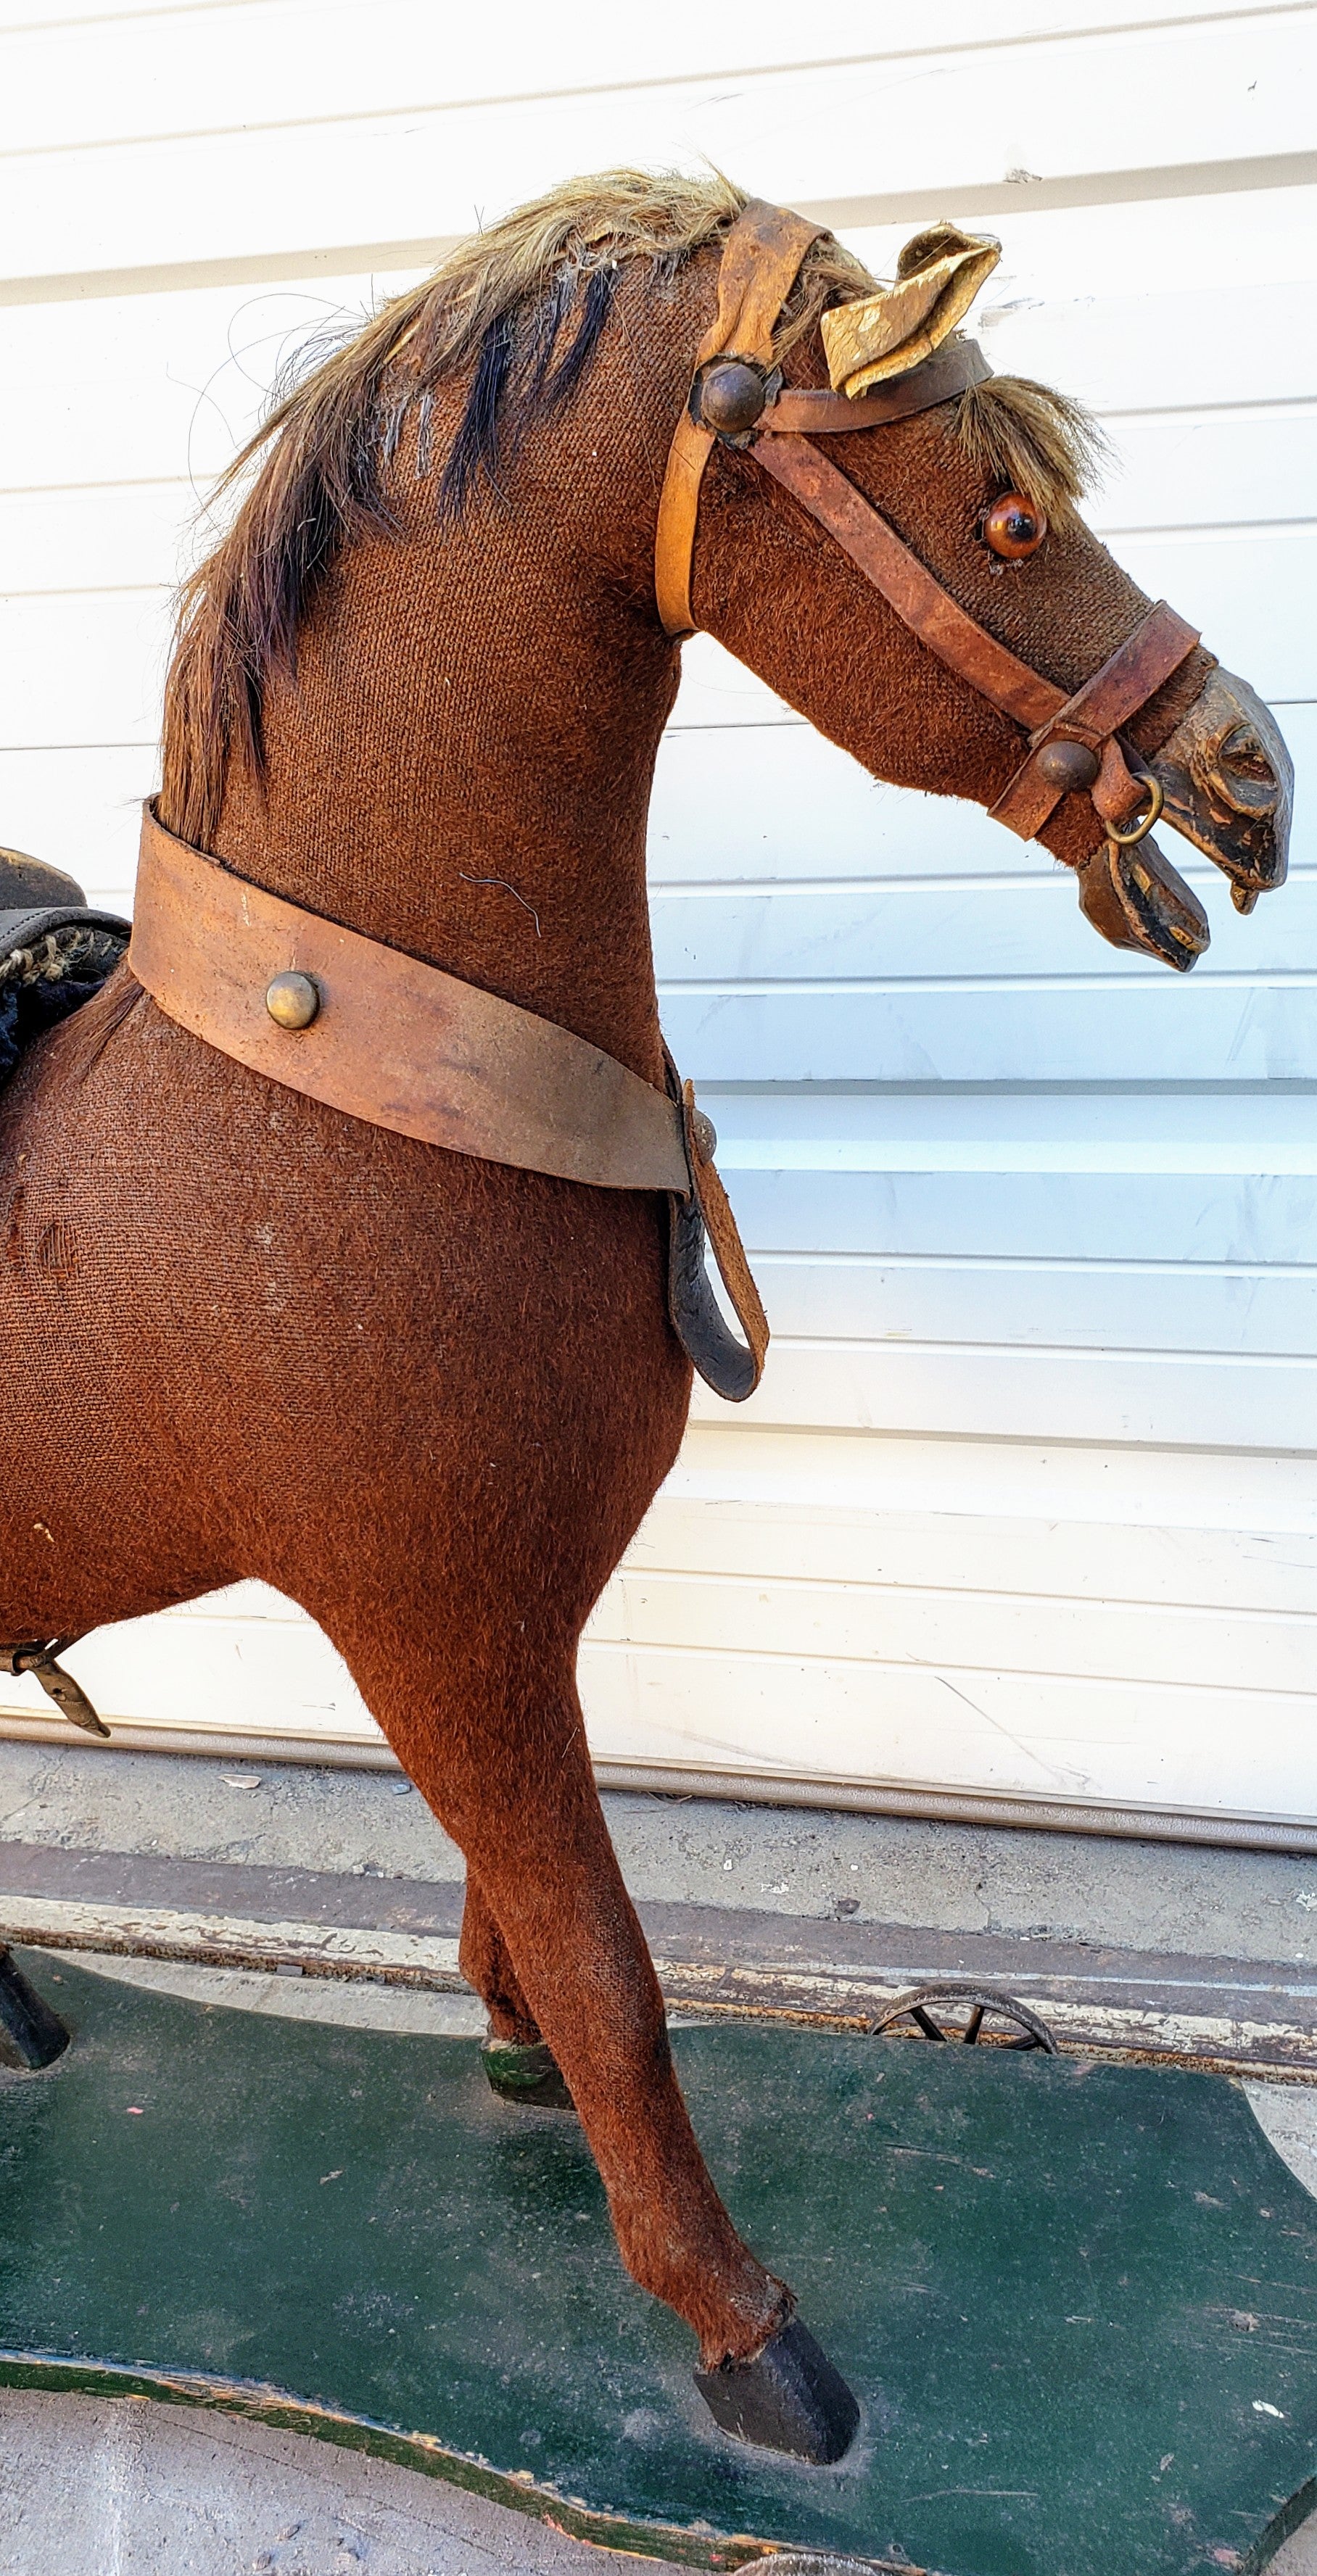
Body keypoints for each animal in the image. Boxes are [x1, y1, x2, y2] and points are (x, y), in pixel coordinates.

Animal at [0, 171, 1294, 2462]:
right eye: (1005, 514)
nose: (1251, 774)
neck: (338, 1087)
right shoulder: (434, 1617)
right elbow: (612, 1958)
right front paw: (743, 2326)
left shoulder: (510, 1619)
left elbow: (528, 1910)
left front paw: (515, 2067)